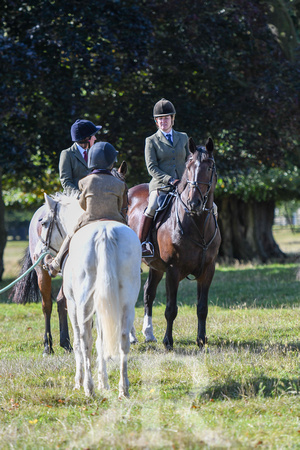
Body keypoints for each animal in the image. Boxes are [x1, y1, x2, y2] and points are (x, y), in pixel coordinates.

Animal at [10, 162, 127, 356]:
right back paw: (48, 346)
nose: (39, 252)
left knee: (60, 301)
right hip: (43, 273)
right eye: (43, 223)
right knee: (47, 305)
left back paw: (66, 342)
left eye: (126, 191)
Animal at [35, 193, 141, 398]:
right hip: (126, 305)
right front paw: (104, 383)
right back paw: (123, 389)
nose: (37, 253)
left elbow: (79, 342)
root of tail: (105, 233)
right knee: (123, 339)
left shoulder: (72, 305)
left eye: (44, 223)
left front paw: (82, 381)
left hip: (82, 305)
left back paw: (87, 387)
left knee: (85, 341)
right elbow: (102, 342)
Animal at [126, 137, 220, 352]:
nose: (194, 203)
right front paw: (168, 342)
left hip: (156, 267)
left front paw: (201, 340)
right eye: (189, 166)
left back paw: (148, 333)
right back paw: (131, 337)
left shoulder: (208, 269)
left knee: (148, 293)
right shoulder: (173, 269)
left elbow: (202, 308)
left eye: (210, 166)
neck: (196, 222)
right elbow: (171, 309)